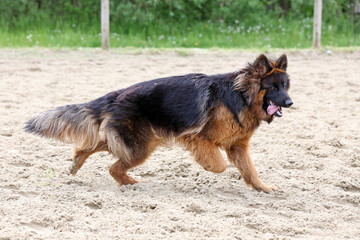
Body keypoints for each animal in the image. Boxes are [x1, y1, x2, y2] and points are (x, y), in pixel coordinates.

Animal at [25, 54, 292, 193]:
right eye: (273, 87)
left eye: (286, 85)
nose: (290, 102)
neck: (241, 96)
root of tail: (118, 94)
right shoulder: (198, 138)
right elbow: (219, 165)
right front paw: (209, 167)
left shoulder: (238, 147)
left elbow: (250, 170)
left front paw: (263, 187)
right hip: (141, 146)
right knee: (114, 167)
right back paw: (131, 183)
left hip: (140, 142)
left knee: (94, 147)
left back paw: (79, 163)